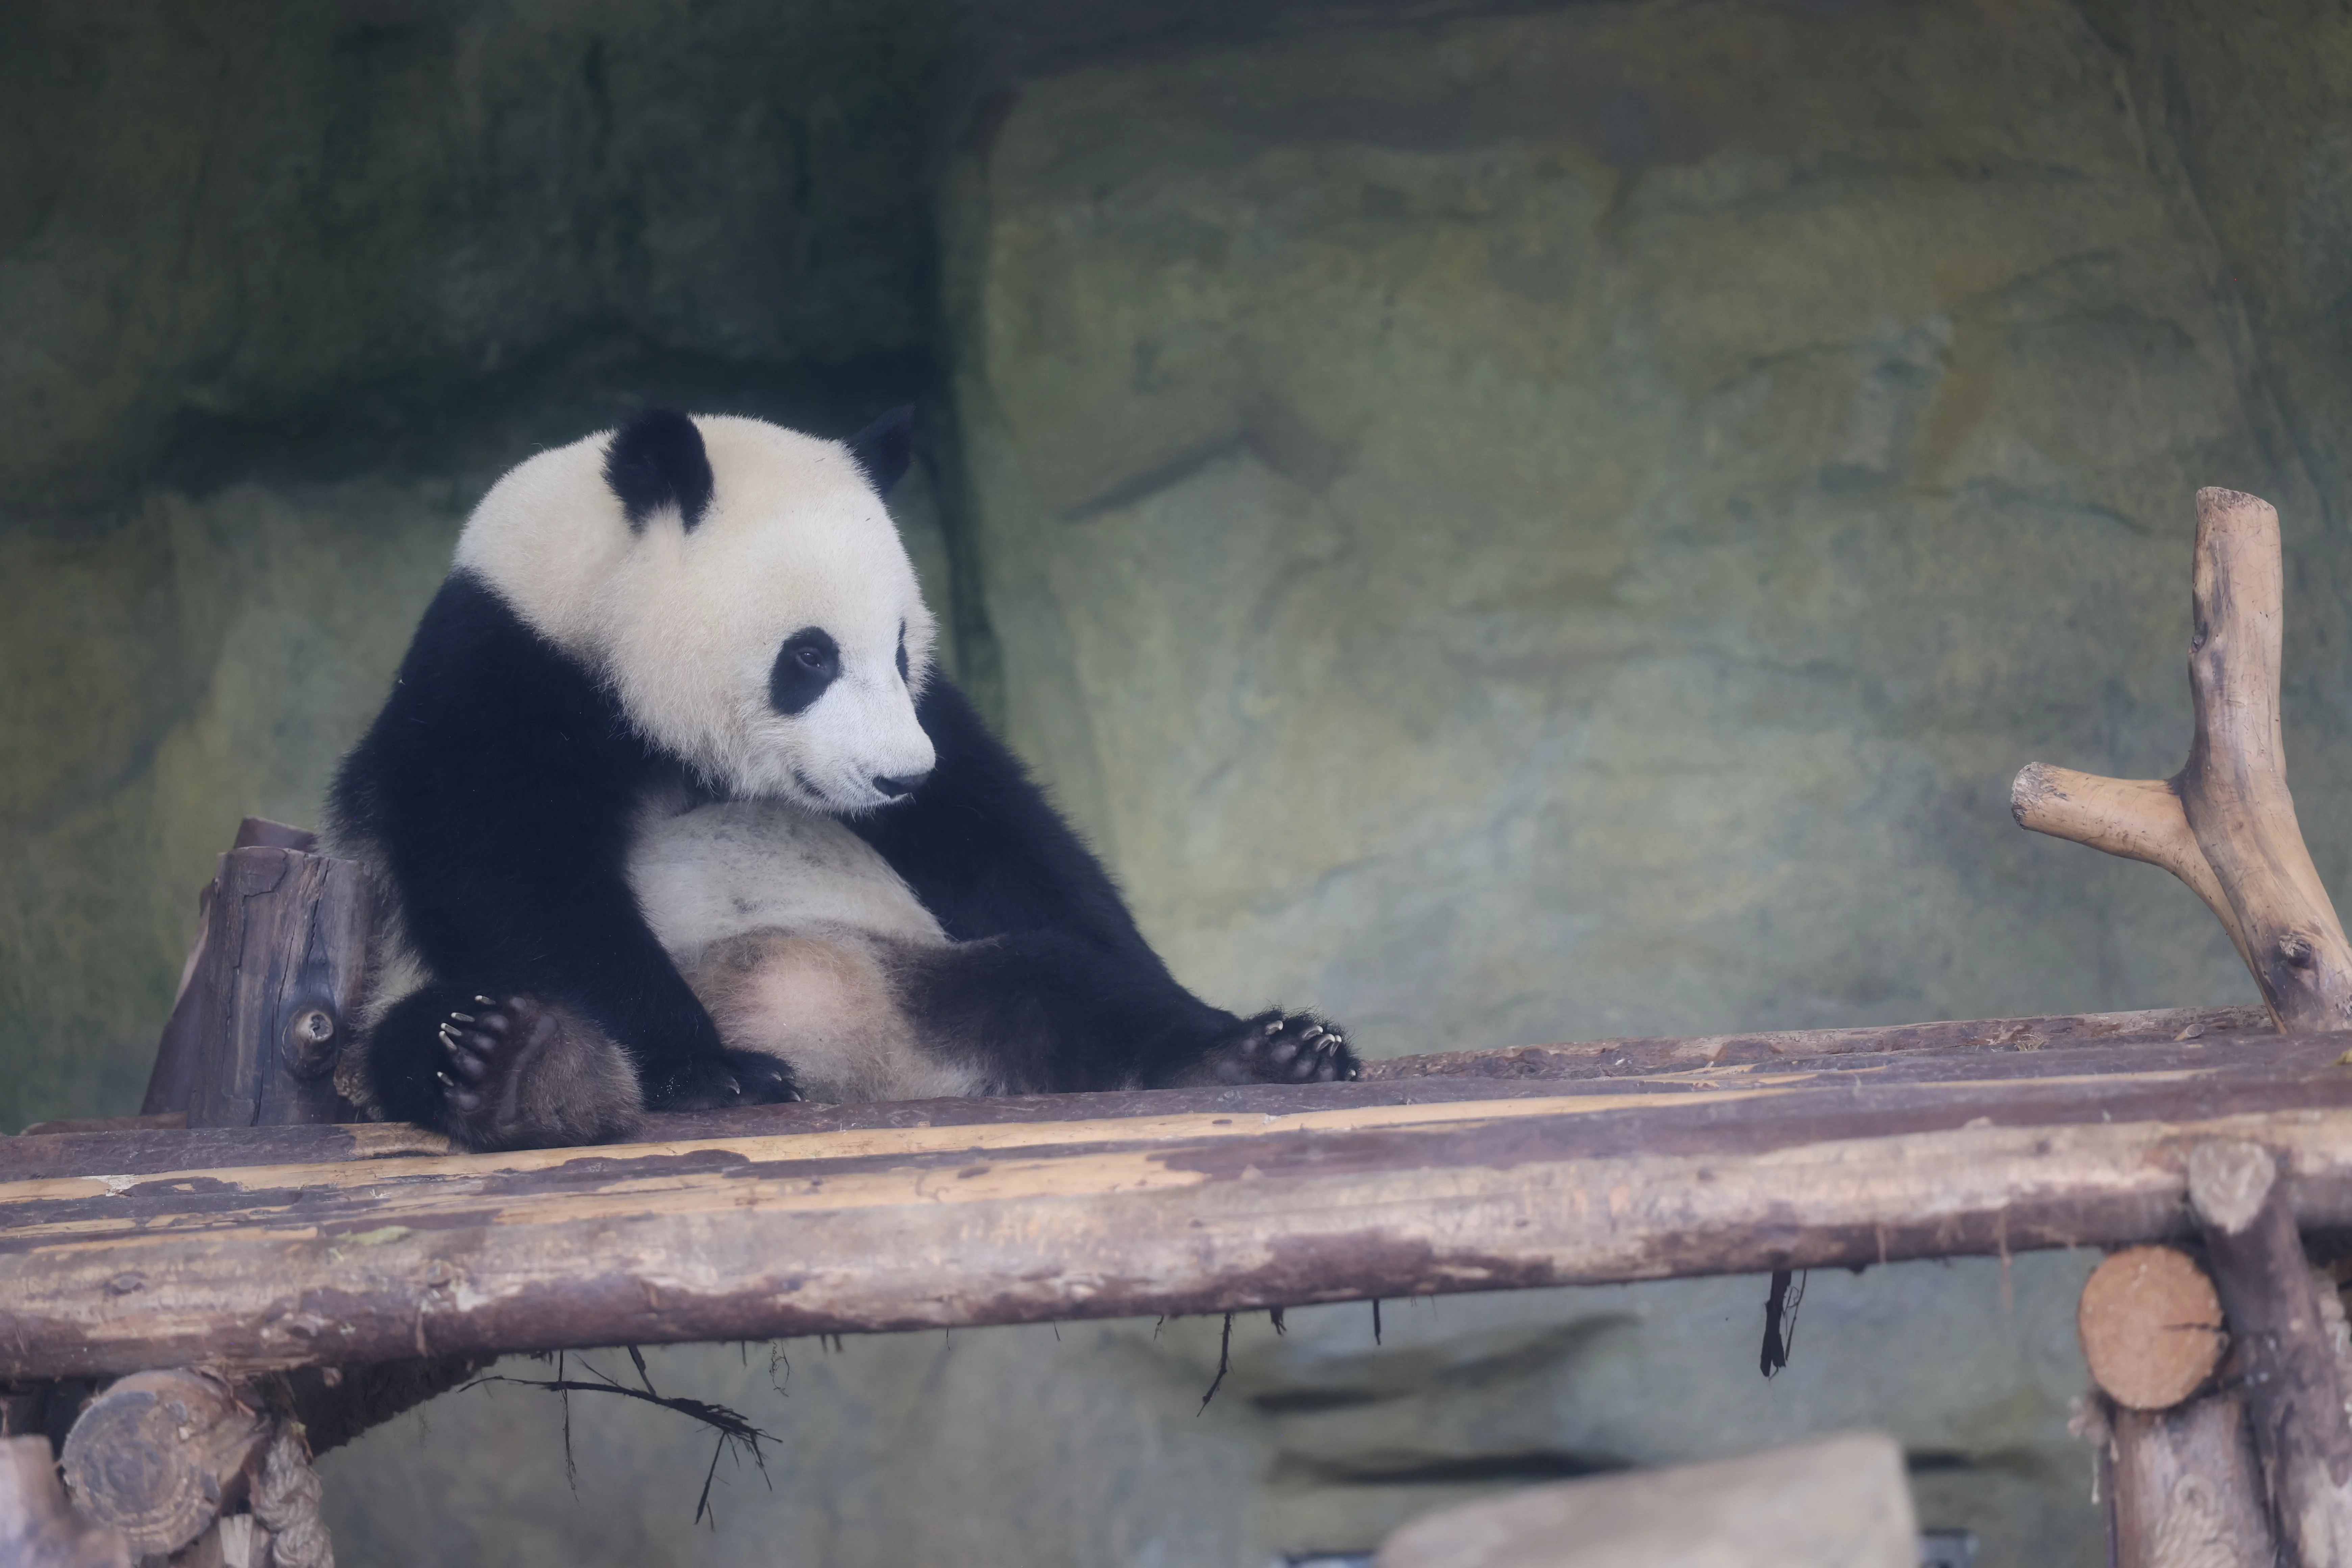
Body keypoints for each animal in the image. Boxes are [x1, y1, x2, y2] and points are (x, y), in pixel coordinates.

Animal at [329, 405, 1358, 1151]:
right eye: (810, 655)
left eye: (899, 648)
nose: (898, 778)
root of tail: (870, 1075)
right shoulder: (498, 676)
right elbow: (515, 878)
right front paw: (708, 1071)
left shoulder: (935, 723)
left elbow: (1008, 843)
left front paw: (1222, 1015)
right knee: (421, 1031)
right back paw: (524, 1068)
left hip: (928, 966)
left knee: (1061, 979)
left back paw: (1250, 1057)